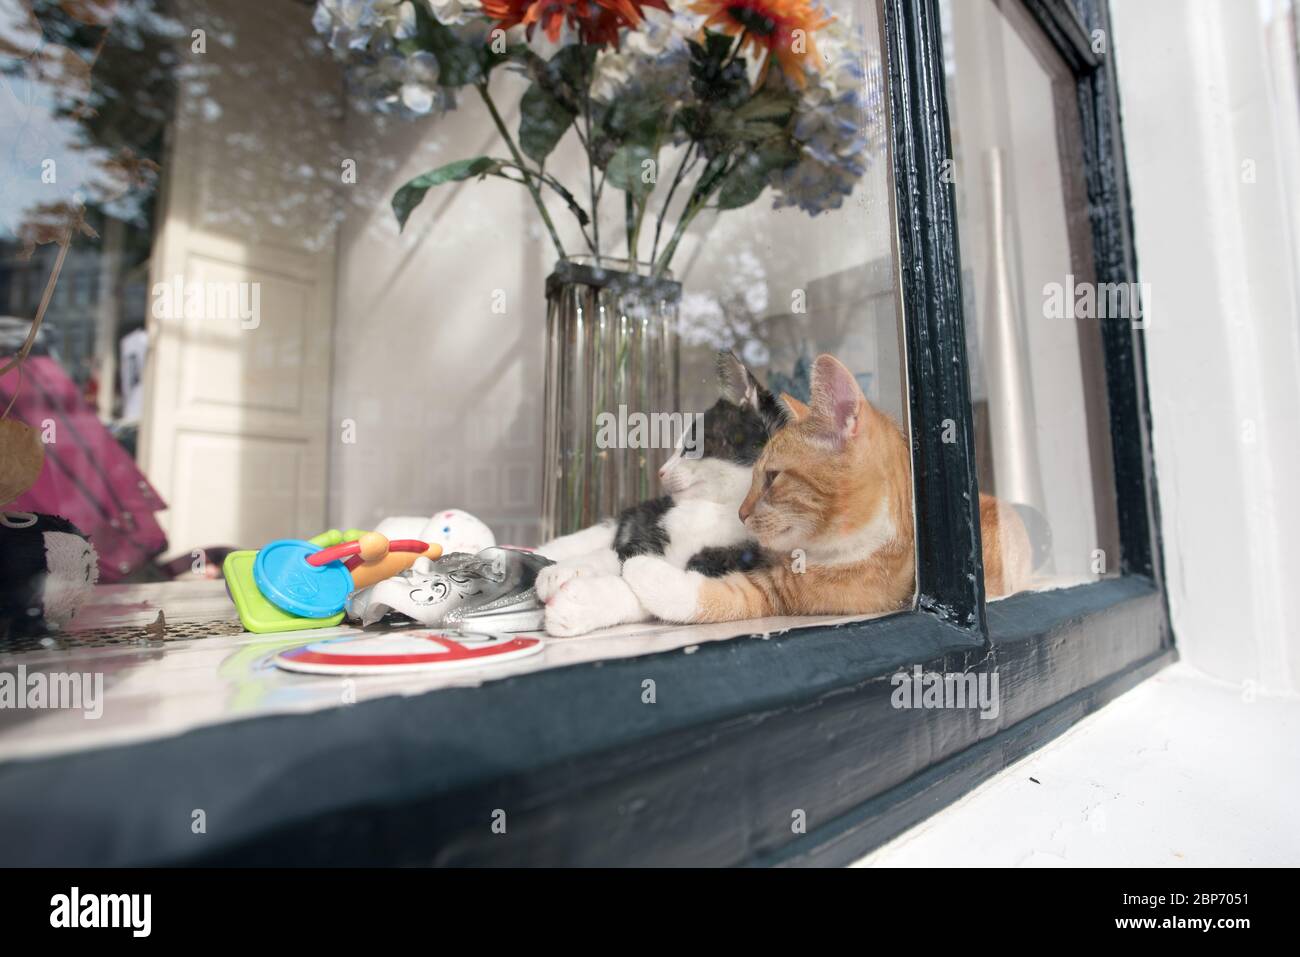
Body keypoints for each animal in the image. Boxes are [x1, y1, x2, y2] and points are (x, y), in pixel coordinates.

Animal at [535, 351, 780, 634]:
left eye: (691, 446)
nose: (661, 471)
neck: (720, 509)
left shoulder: (727, 562)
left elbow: (641, 587)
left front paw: (577, 605)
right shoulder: (647, 533)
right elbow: (616, 555)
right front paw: (564, 571)